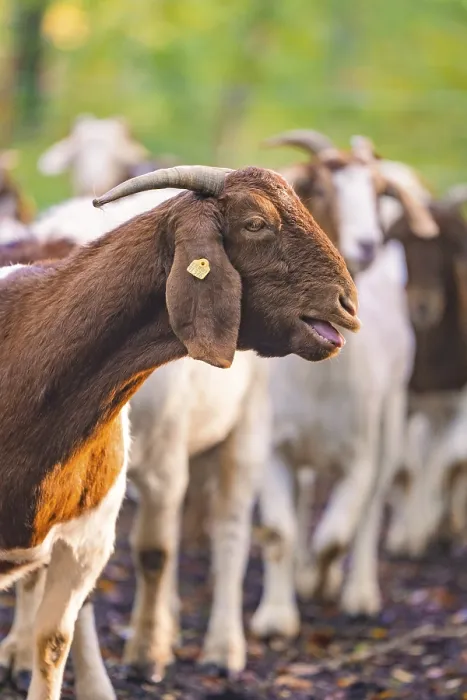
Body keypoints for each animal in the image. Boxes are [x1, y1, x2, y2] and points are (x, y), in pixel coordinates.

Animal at [0, 164, 359, 700]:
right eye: (255, 223)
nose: (347, 304)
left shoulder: (90, 535)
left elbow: (57, 637)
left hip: (247, 431)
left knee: (230, 529)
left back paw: (221, 650)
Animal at [250, 132, 437, 637]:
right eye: (317, 187)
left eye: (380, 192)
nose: (368, 244)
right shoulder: (274, 448)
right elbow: (280, 532)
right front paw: (276, 617)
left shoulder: (360, 455)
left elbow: (336, 535)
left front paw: (320, 579)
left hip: (390, 422)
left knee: (371, 512)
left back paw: (358, 593)